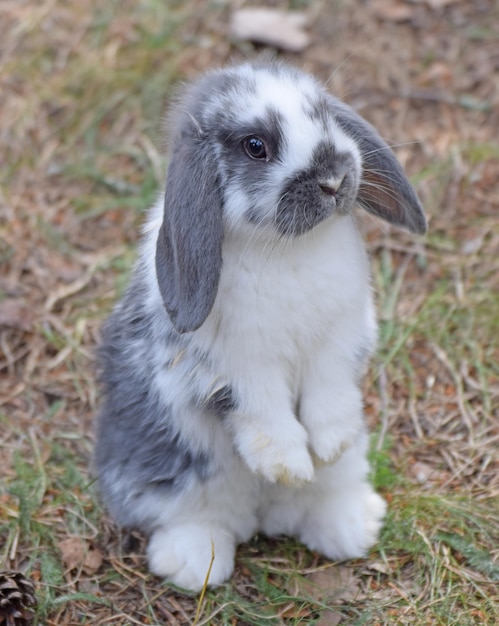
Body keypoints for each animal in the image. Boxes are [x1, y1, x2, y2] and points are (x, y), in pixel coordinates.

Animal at [95, 62, 428, 588]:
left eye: (322, 113)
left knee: (326, 494)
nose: (334, 179)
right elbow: (265, 412)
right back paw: (195, 565)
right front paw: (289, 465)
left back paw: (353, 526)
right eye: (256, 146)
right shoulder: (236, 369)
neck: (286, 248)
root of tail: (263, 516)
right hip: (166, 475)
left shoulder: (337, 344)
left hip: (347, 465)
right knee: (191, 518)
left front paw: (327, 446)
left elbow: (329, 397)